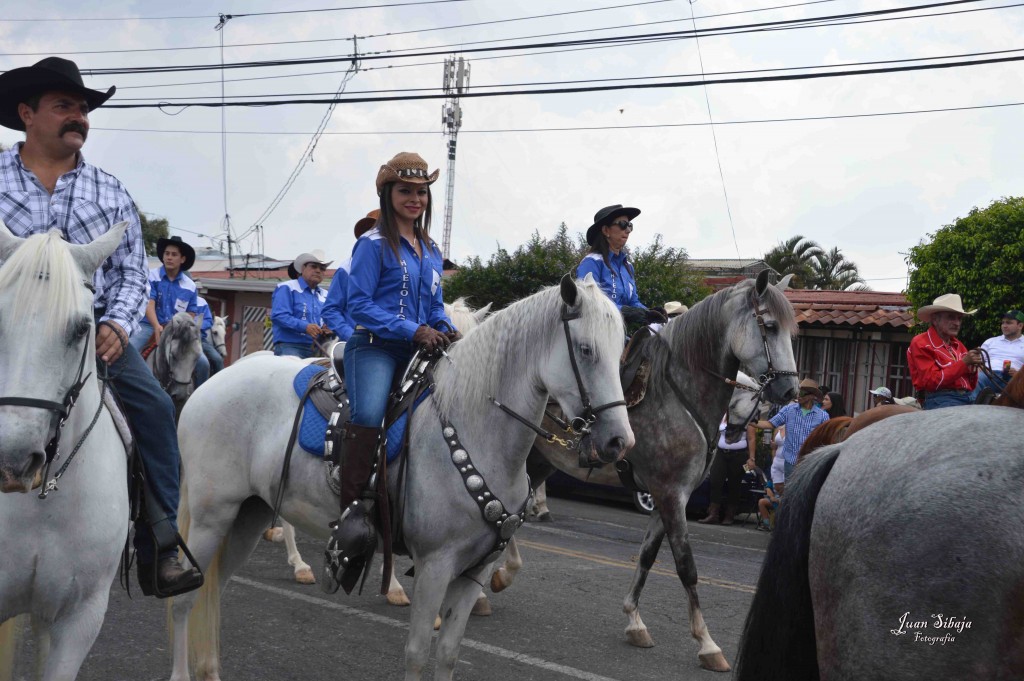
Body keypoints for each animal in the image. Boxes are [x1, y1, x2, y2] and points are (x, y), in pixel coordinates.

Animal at [167, 276, 630, 679]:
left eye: (619, 351)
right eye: (586, 350)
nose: (619, 441)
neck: (475, 427)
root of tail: (212, 383)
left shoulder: (473, 571)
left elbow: (447, 654)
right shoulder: (435, 565)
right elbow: (417, 652)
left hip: (250, 514)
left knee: (213, 591)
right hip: (210, 517)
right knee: (186, 598)